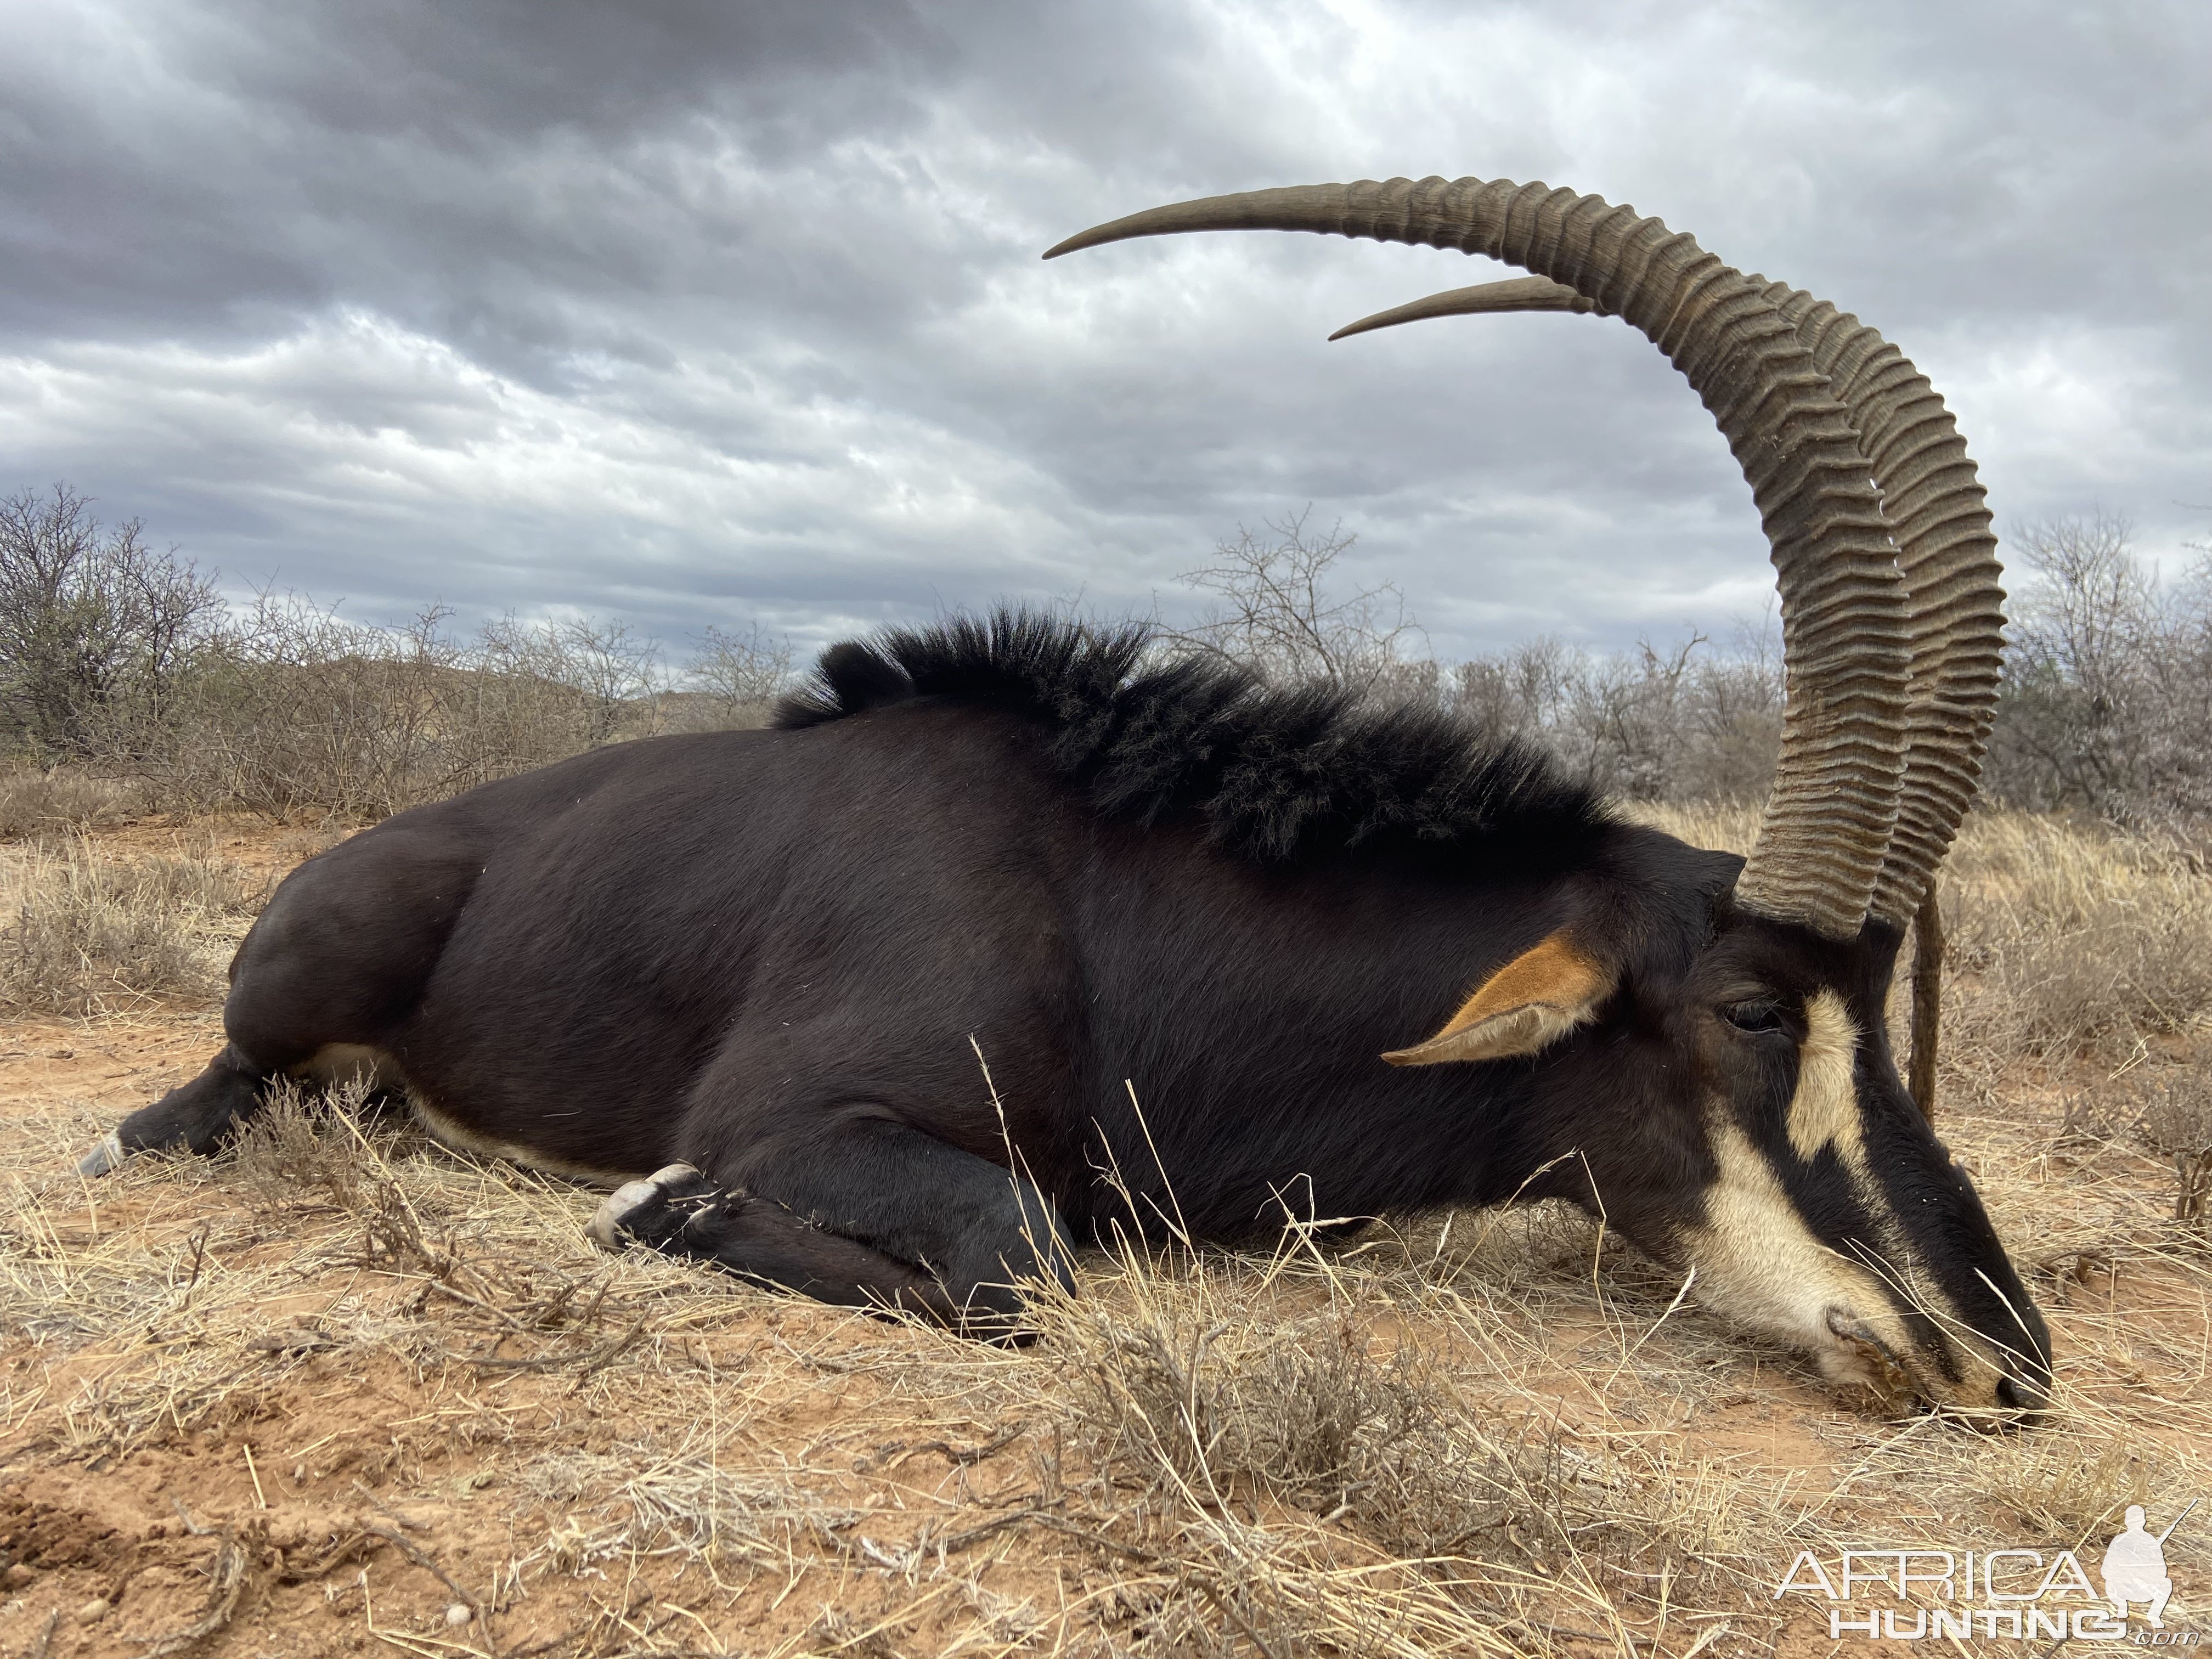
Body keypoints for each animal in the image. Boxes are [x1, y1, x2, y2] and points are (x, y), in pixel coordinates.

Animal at [86, 181, 2052, 1433]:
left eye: (1887, 1007)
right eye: (1752, 1011)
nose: (2002, 1362)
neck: (1112, 908)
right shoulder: (801, 1118)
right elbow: (1024, 1255)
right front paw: (647, 1209)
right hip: (300, 996)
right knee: (218, 1093)